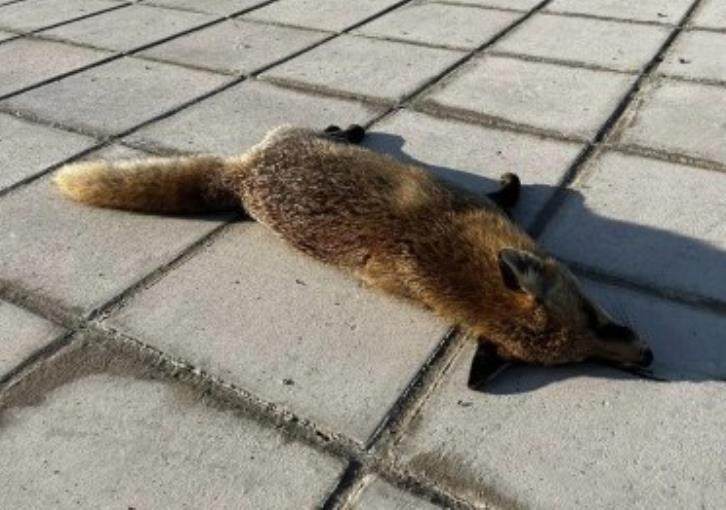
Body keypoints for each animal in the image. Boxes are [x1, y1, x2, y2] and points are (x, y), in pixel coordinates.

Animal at [54, 123, 653, 389]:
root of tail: (242, 175)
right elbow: (506, 192)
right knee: (335, 130)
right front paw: (512, 185)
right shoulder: (471, 200)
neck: (440, 246)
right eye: (596, 331)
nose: (648, 359)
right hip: (298, 134)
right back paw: (354, 127)